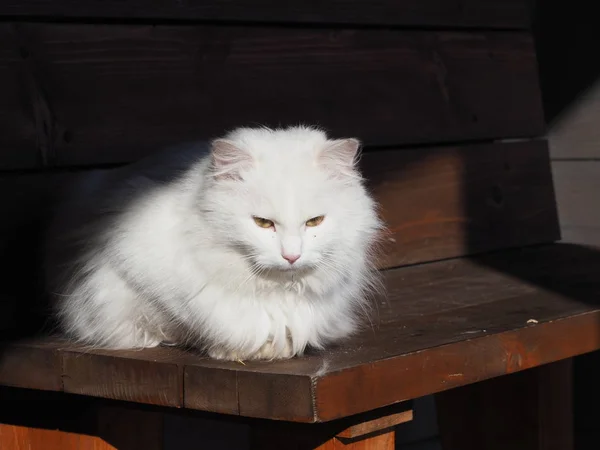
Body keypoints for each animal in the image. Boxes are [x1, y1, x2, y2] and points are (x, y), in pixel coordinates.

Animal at [47, 126, 384, 362]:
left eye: (314, 222)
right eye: (263, 223)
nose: (291, 256)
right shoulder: (128, 272)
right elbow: (181, 324)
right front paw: (236, 350)